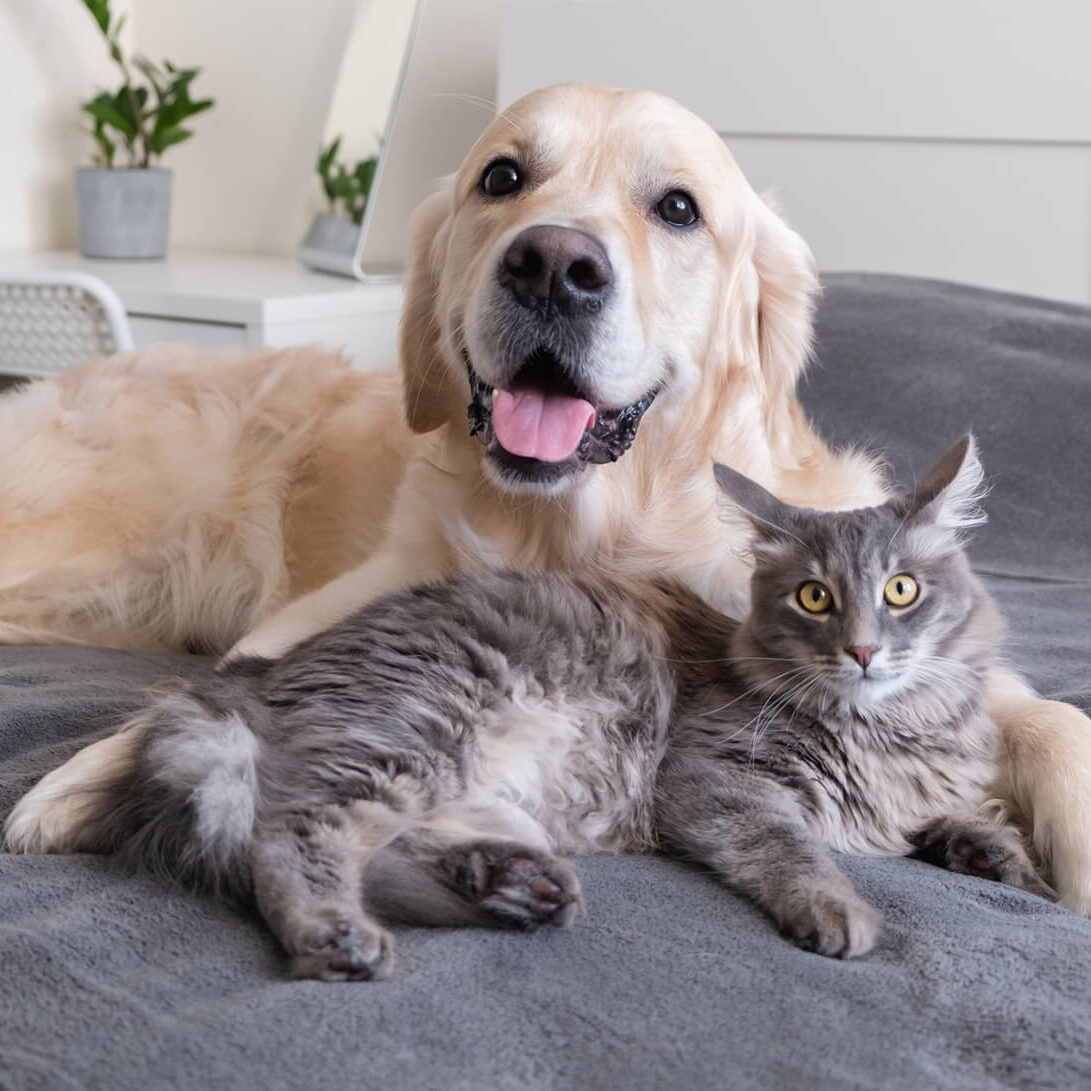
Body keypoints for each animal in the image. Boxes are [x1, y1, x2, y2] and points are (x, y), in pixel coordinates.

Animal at [2, 85, 1091, 916]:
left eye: (678, 208)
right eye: (501, 178)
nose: (553, 265)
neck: (582, 532)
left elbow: (1050, 721)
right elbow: (237, 679)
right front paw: (79, 780)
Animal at [51, 434, 1047, 981]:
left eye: (901, 589)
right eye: (813, 598)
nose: (865, 649)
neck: (889, 729)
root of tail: (251, 674)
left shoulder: (912, 790)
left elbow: (954, 817)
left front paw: (1000, 856)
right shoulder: (714, 777)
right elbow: (794, 846)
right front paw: (837, 908)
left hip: (460, 777)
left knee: (397, 846)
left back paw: (514, 886)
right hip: (416, 727)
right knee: (290, 835)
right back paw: (341, 938)